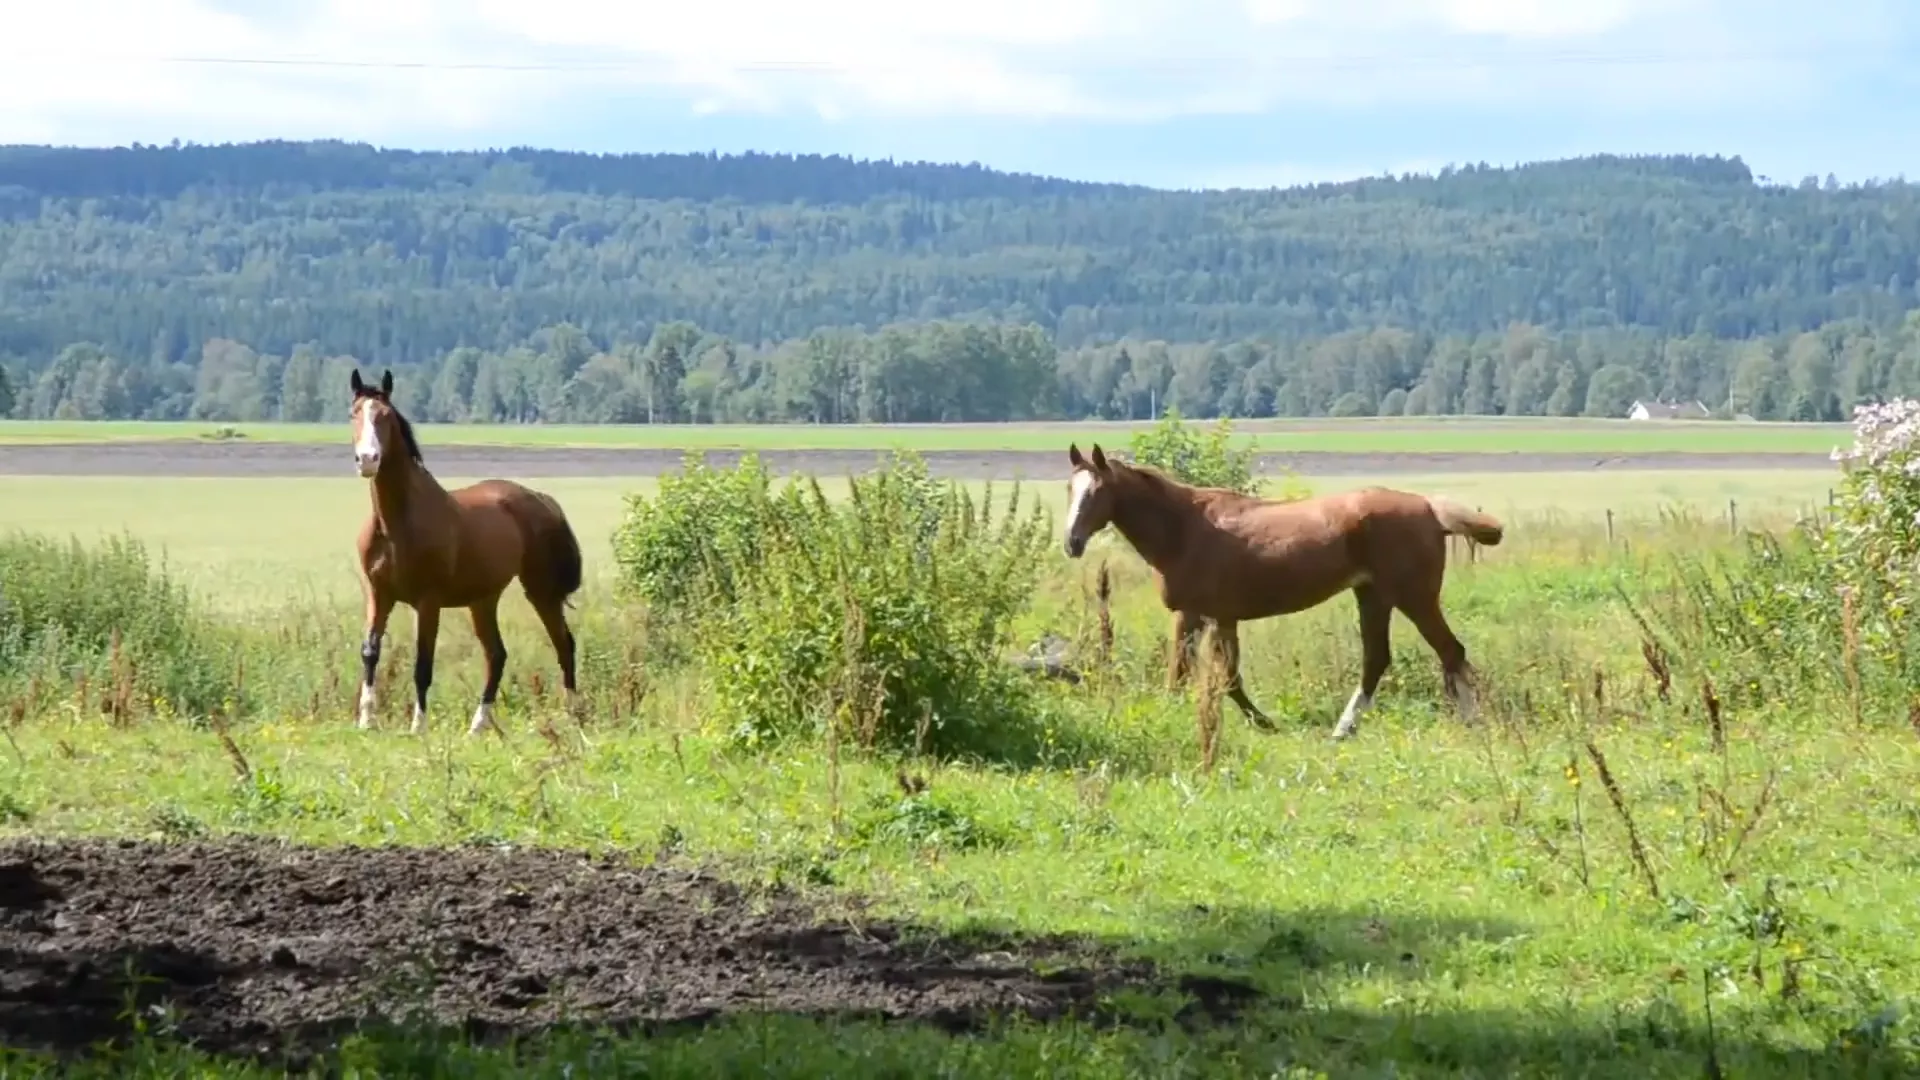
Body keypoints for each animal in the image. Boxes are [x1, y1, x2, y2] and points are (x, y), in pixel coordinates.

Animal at [345, 367, 583, 730]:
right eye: (354, 413)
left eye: (385, 415)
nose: (368, 460)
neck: (396, 524)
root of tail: (541, 499)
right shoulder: (379, 594)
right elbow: (370, 651)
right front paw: (366, 721)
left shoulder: (428, 601)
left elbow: (423, 663)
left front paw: (418, 727)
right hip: (483, 600)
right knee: (496, 655)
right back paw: (477, 727)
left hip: (540, 591)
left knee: (563, 644)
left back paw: (571, 717)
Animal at [1067, 441, 1497, 734]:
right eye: (1071, 489)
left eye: (1097, 491)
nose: (1071, 542)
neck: (1184, 529)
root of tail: (1430, 509)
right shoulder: (1215, 617)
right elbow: (1219, 676)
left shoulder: (1199, 614)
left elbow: (1191, 673)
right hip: (1373, 597)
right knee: (1379, 659)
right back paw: (1343, 730)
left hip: (1414, 597)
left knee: (1450, 651)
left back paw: (1470, 723)